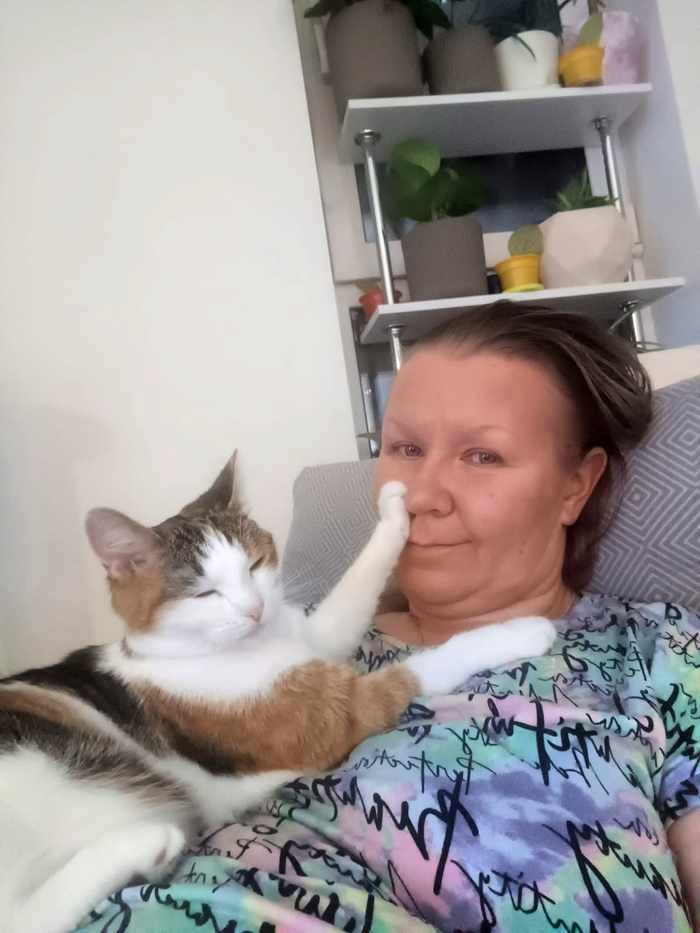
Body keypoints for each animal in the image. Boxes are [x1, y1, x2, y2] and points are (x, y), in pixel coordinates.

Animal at [0, 453, 556, 933]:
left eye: (254, 563)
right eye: (204, 592)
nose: (254, 610)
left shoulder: (317, 640)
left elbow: (356, 587)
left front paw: (394, 511)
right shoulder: (332, 715)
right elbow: (416, 671)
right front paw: (517, 632)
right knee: (20, 917)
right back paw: (145, 844)